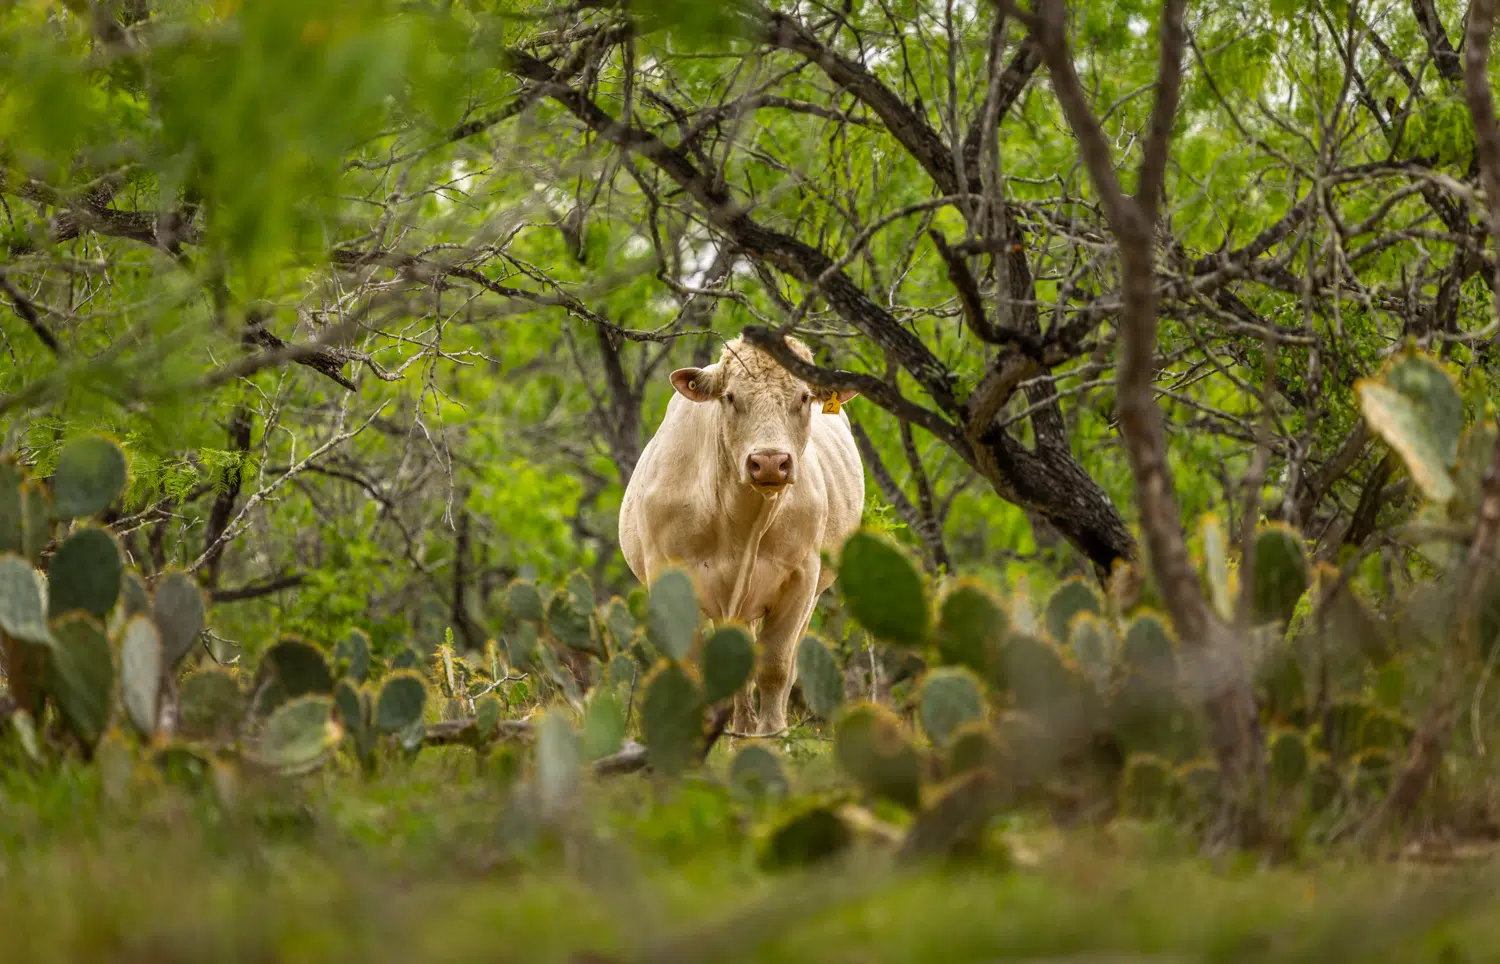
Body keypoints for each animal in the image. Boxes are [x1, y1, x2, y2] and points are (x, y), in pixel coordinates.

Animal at [618, 334, 864, 736]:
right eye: (731, 397)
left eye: (803, 397)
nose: (770, 462)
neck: (738, 521)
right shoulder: (671, 578)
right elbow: (698, 668)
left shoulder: (801, 578)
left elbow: (775, 668)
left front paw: (771, 736)